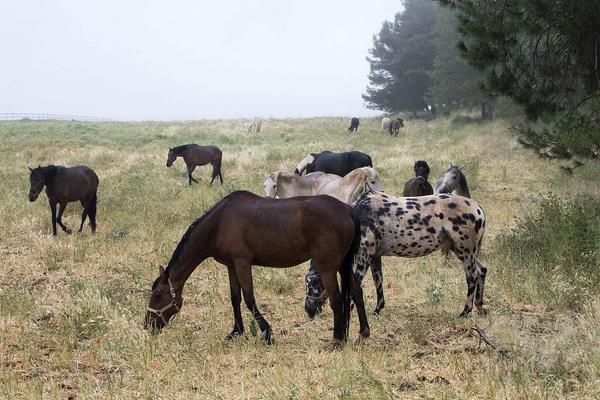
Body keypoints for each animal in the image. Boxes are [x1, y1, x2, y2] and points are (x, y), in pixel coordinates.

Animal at [145, 191, 370, 344]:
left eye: (157, 295)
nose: (148, 325)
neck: (220, 223)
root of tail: (348, 210)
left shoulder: (243, 263)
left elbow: (249, 298)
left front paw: (267, 332)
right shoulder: (231, 266)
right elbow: (235, 298)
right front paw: (236, 331)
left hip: (328, 267)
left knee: (336, 299)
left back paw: (337, 339)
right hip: (343, 264)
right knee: (356, 292)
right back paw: (363, 333)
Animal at [304, 191, 488, 318]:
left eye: (312, 282)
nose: (308, 310)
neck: (358, 214)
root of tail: (478, 208)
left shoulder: (363, 258)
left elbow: (355, 284)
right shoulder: (374, 257)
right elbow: (378, 281)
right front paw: (377, 309)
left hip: (465, 251)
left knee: (472, 276)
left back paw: (465, 311)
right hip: (464, 252)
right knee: (482, 271)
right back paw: (479, 307)